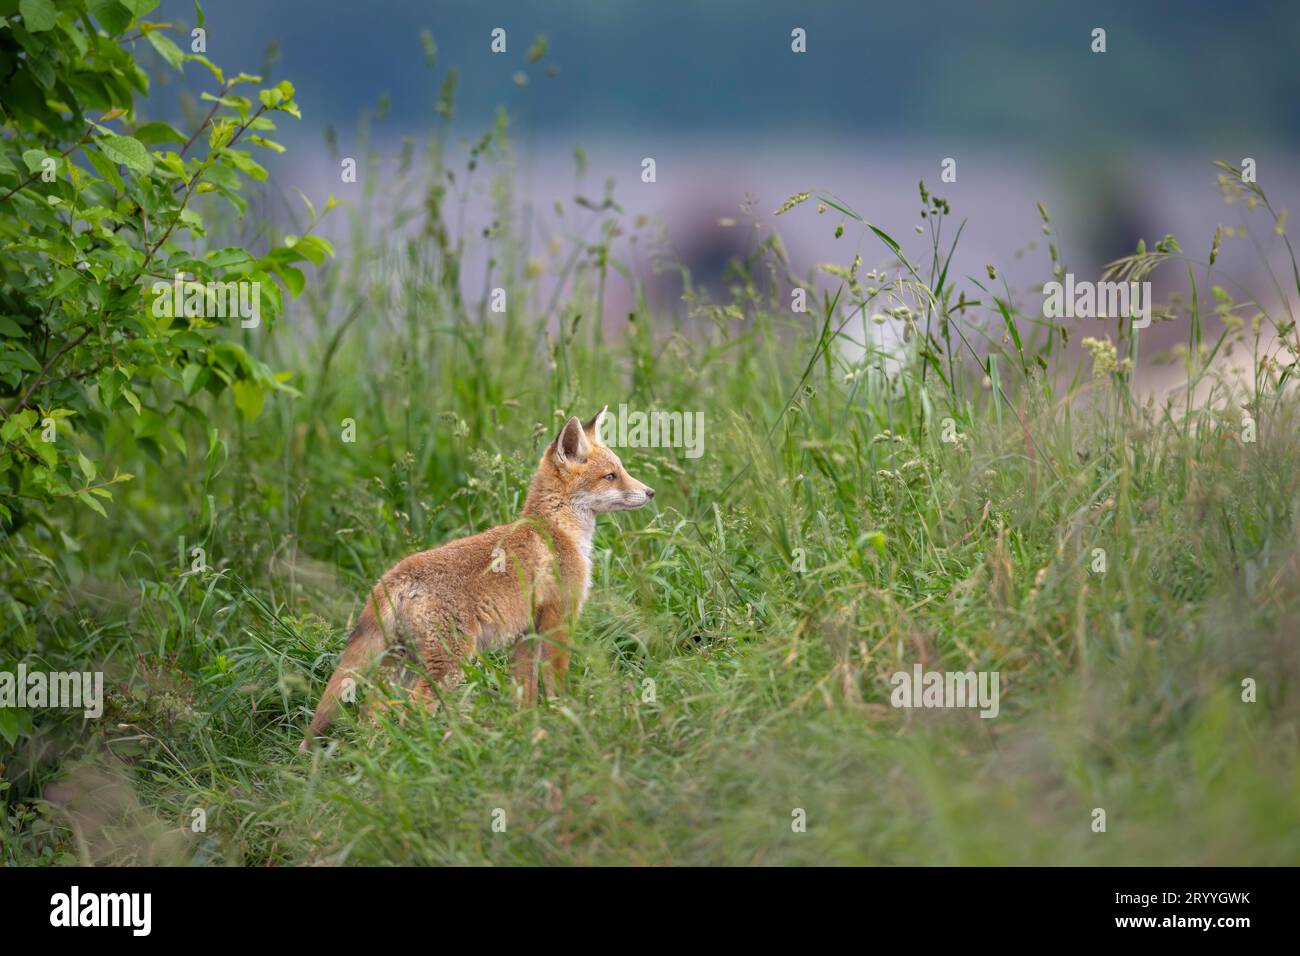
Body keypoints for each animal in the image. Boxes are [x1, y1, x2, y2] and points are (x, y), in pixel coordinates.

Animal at [300, 403, 655, 749]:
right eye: (611, 476)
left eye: (622, 470)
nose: (650, 492)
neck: (557, 530)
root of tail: (393, 575)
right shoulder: (558, 621)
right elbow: (555, 687)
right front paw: (565, 722)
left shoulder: (526, 634)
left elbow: (525, 694)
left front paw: (528, 733)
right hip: (447, 665)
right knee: (411, 708)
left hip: (403, 665)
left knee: (373, 713)